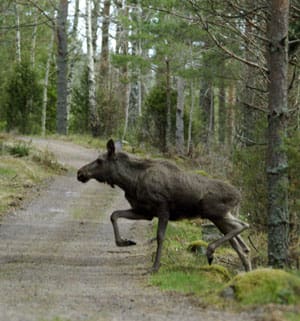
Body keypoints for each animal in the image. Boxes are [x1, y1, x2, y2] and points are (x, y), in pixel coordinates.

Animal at [77, 139, 251, 272]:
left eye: (100, 160)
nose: (80, 173)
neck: (130, 182)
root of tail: (239, 196)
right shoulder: (144, 211)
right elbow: (114, 214)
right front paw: (125, 242)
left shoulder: (162, 208)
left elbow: (160, 237)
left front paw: (155, 267)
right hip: (219, 216)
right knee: (240, 243)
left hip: (214, 212)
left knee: (242, 226)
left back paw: (210, 250)